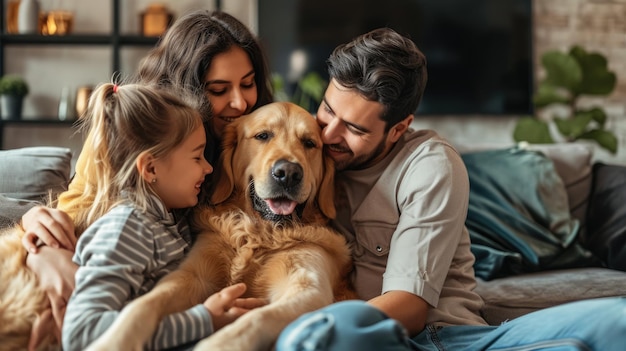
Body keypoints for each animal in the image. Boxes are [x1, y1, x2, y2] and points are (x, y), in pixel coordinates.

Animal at [85, 102, 354, 351]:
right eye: (263, 136)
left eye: (309, 143)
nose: (288, 172)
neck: (260, 232)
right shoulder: (192, 274)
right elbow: (145, 303)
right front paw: (111, 342)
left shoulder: (308, 288)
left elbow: (254, 320)